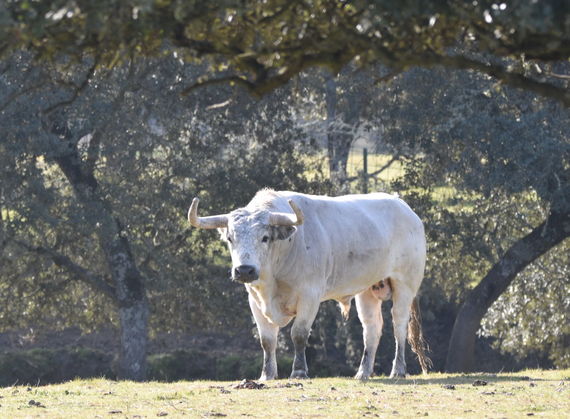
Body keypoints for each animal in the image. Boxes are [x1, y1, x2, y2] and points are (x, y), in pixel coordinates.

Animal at [188, 189, 431, 380]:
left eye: (265, 237)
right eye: (230, 238)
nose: (244, 270)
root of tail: (404, 207)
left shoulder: (309, 296)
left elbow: (299, 334)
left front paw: (299, 372)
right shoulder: (254, 300)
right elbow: (267, 339)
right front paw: (267, 375)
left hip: (404, 284)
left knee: (399, 324)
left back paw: (398, 370)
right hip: (367, 289)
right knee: (371, 327)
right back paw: (363, 372)